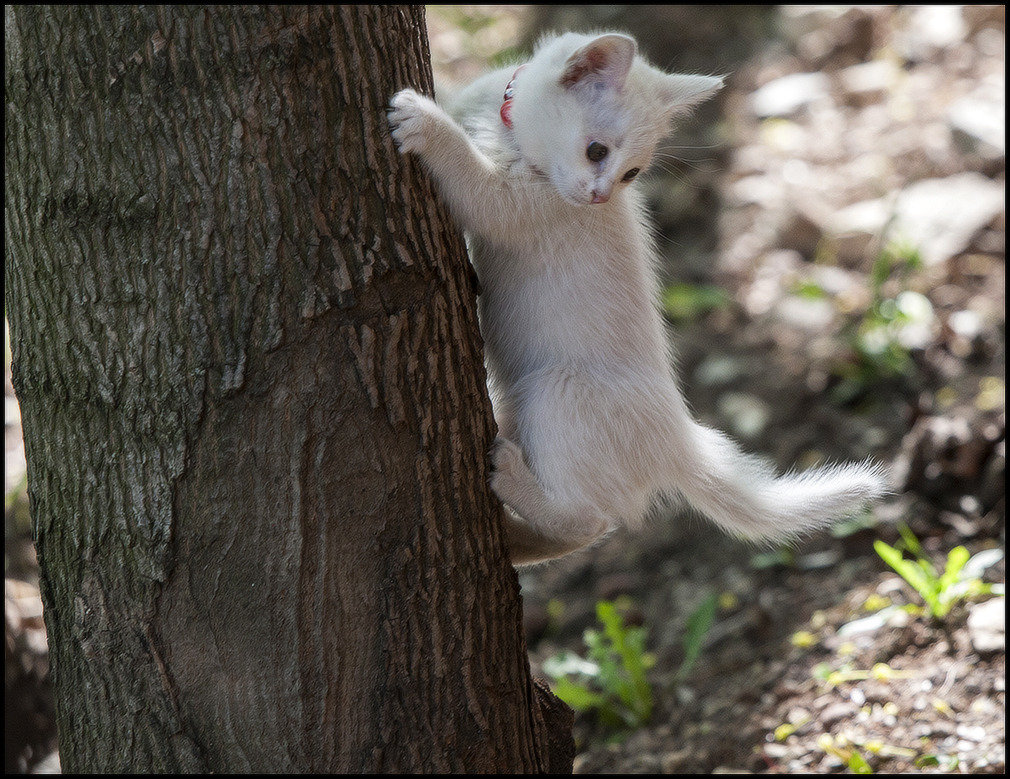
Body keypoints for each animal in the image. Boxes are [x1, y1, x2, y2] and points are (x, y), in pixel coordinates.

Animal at [385, 31, 884, 565]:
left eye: (631, 174)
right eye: (597, 151)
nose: (600, 197)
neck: (506, 129)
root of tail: (680, 439)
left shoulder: (516, 205)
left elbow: (473, 182)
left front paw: (424, 122)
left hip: (558, 389)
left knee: (590, 521)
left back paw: (515, 485)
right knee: (580, 531)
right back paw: (516, 542)